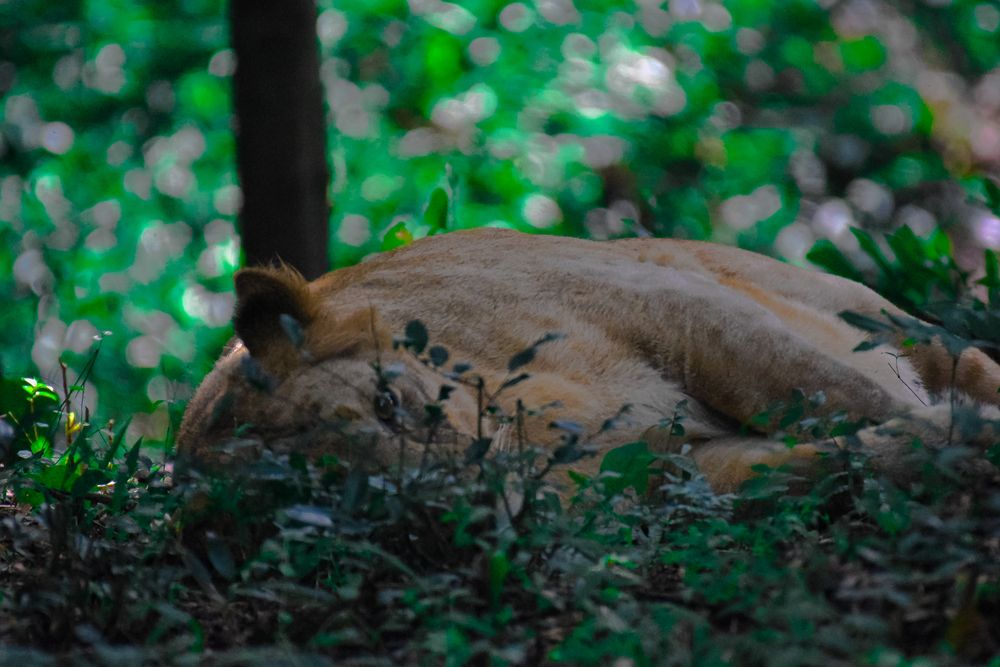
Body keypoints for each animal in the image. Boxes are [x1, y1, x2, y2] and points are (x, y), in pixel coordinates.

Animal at [177, 228, 1000, 493]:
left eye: (387, 403)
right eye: (356, 489)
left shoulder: (678, 309)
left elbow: (826, 390)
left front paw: (967, 432)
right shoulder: (676, 471)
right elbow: (824, 458)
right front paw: (947, 447)